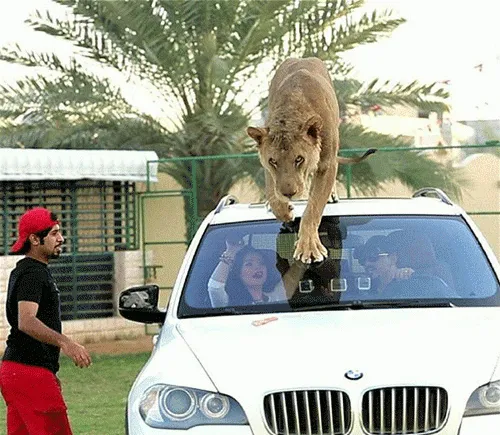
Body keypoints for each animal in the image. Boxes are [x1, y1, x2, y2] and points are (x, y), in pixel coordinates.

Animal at [248, 57, 374, 262]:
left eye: (299, 159)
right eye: (273, 161)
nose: (289, 193)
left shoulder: (327, 164)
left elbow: (313, 207)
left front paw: (309, 248)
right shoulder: (269, 171)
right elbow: (273, 196)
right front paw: (285, 211)